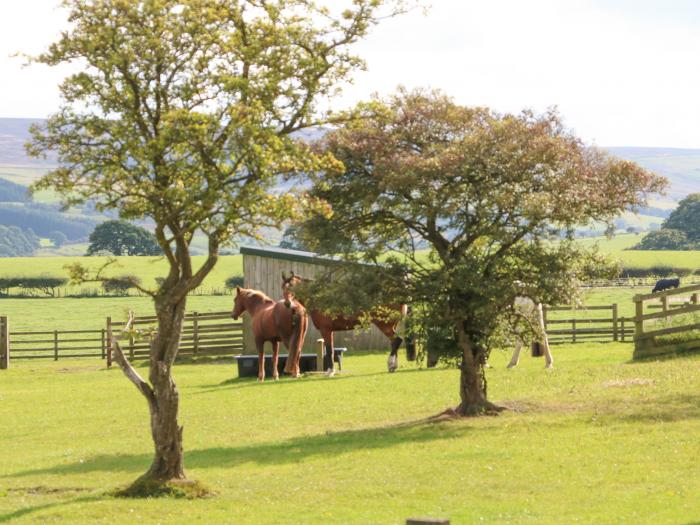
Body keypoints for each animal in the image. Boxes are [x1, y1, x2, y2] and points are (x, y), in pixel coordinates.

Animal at [280, 272, 408, 370]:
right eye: (283, 287)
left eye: (292, 286)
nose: (287, 304)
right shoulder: (330, 331)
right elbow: (331, 351)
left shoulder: (325, 330)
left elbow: (329, 351)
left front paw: (330, 372)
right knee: (394, 343)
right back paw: (393, 366)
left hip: (384, 325)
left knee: (396, 340)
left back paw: (391, 364)